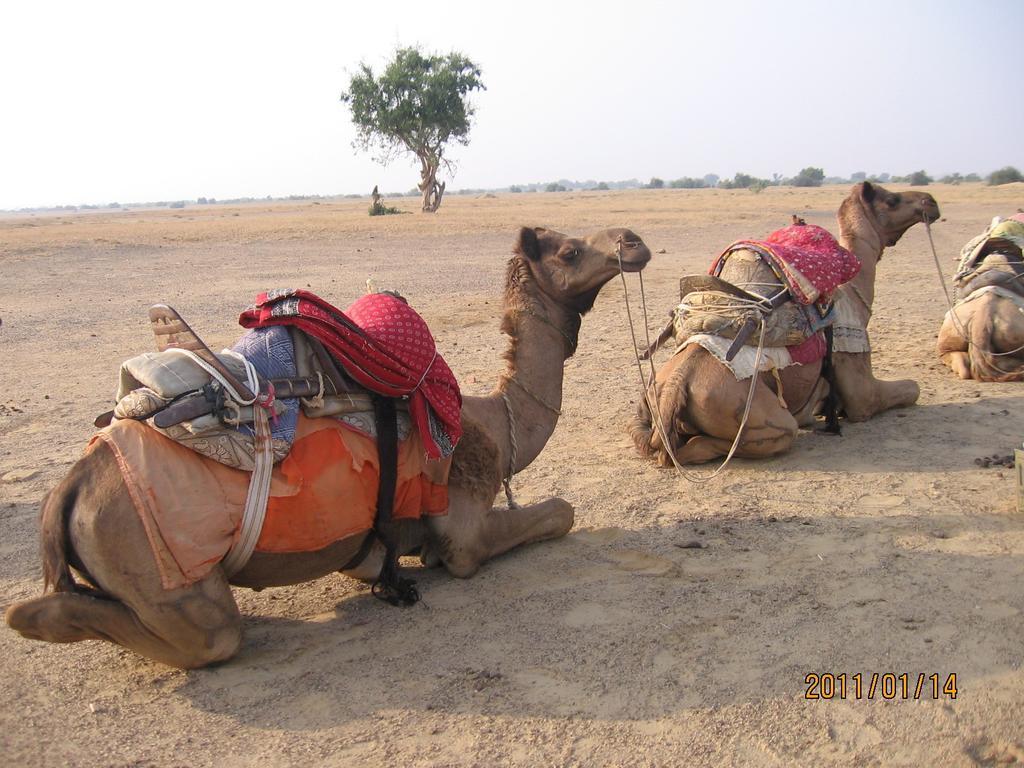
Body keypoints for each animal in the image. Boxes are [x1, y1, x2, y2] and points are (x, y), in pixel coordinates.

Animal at [6, 227, 647, 667]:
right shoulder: (462, 528)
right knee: (209, 632)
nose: (633, 241)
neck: (496, 423)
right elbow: (558, 514)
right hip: (164, 568)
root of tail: (70, 486)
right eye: (569, 251)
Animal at [626, 183, 937, 466]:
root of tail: (676, 384)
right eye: (892, 199)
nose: (930, 201)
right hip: (763, 420)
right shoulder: (859, 384)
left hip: (651, 397)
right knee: (703, 446)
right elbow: (911, 389)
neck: (854, 292)